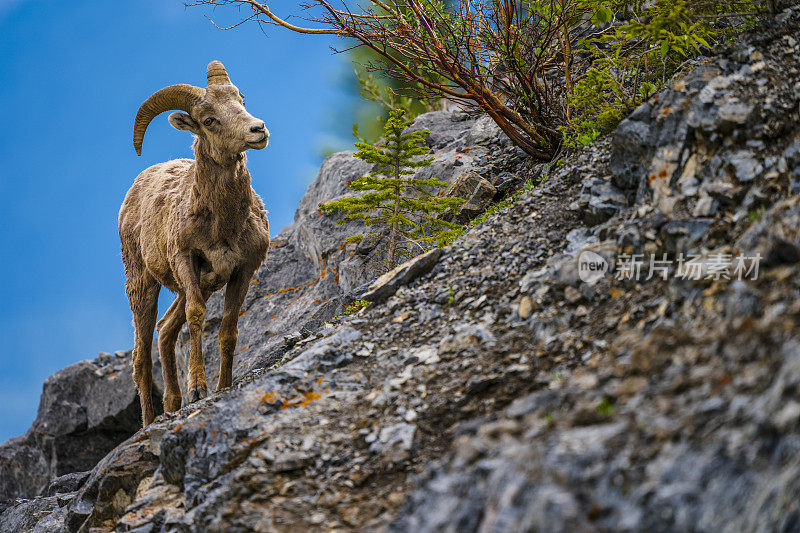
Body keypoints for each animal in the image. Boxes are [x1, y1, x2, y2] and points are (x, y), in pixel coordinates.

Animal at [118, 60, 268, 426]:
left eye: (240, 100)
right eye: (209, 120)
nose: (258, 129)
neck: (225, 225)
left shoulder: (242, 270)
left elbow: (228, 328)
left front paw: (223, 386)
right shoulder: (187, 260)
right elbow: (197, 316)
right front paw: (198, 389)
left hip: (195, 285)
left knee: (166, 329)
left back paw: (173, 403)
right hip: (143, 284)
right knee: (142, 355)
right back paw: (149, 421)